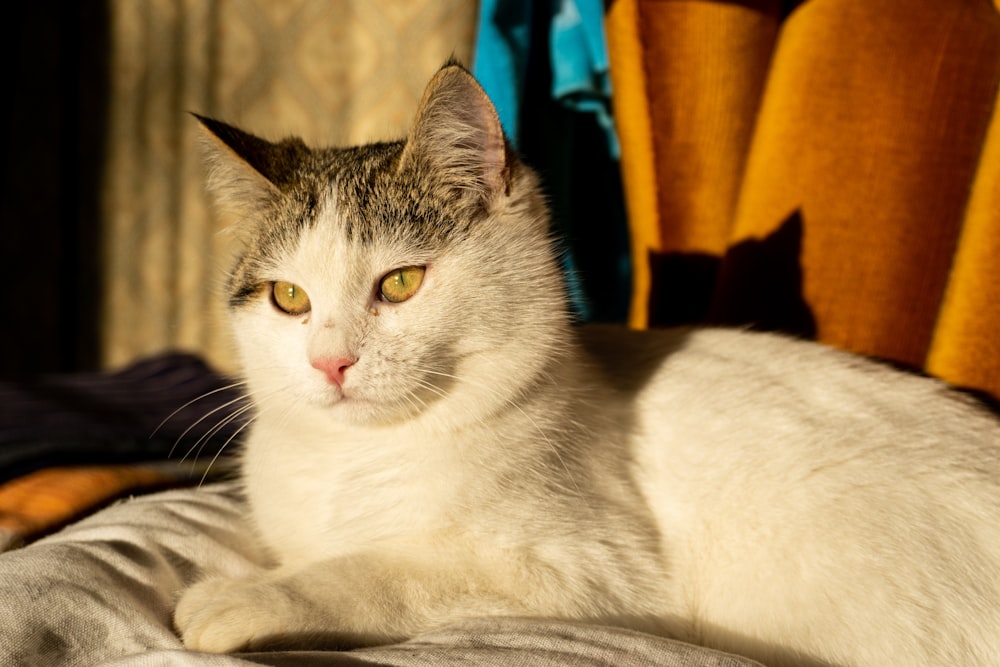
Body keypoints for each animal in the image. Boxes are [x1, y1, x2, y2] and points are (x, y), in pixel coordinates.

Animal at [176, 60, 1000, 664]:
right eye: (288, 296)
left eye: (402, 282)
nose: (331, 363)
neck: (353, 458)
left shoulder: (593, 576)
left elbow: (386, 571)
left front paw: (251, 595)